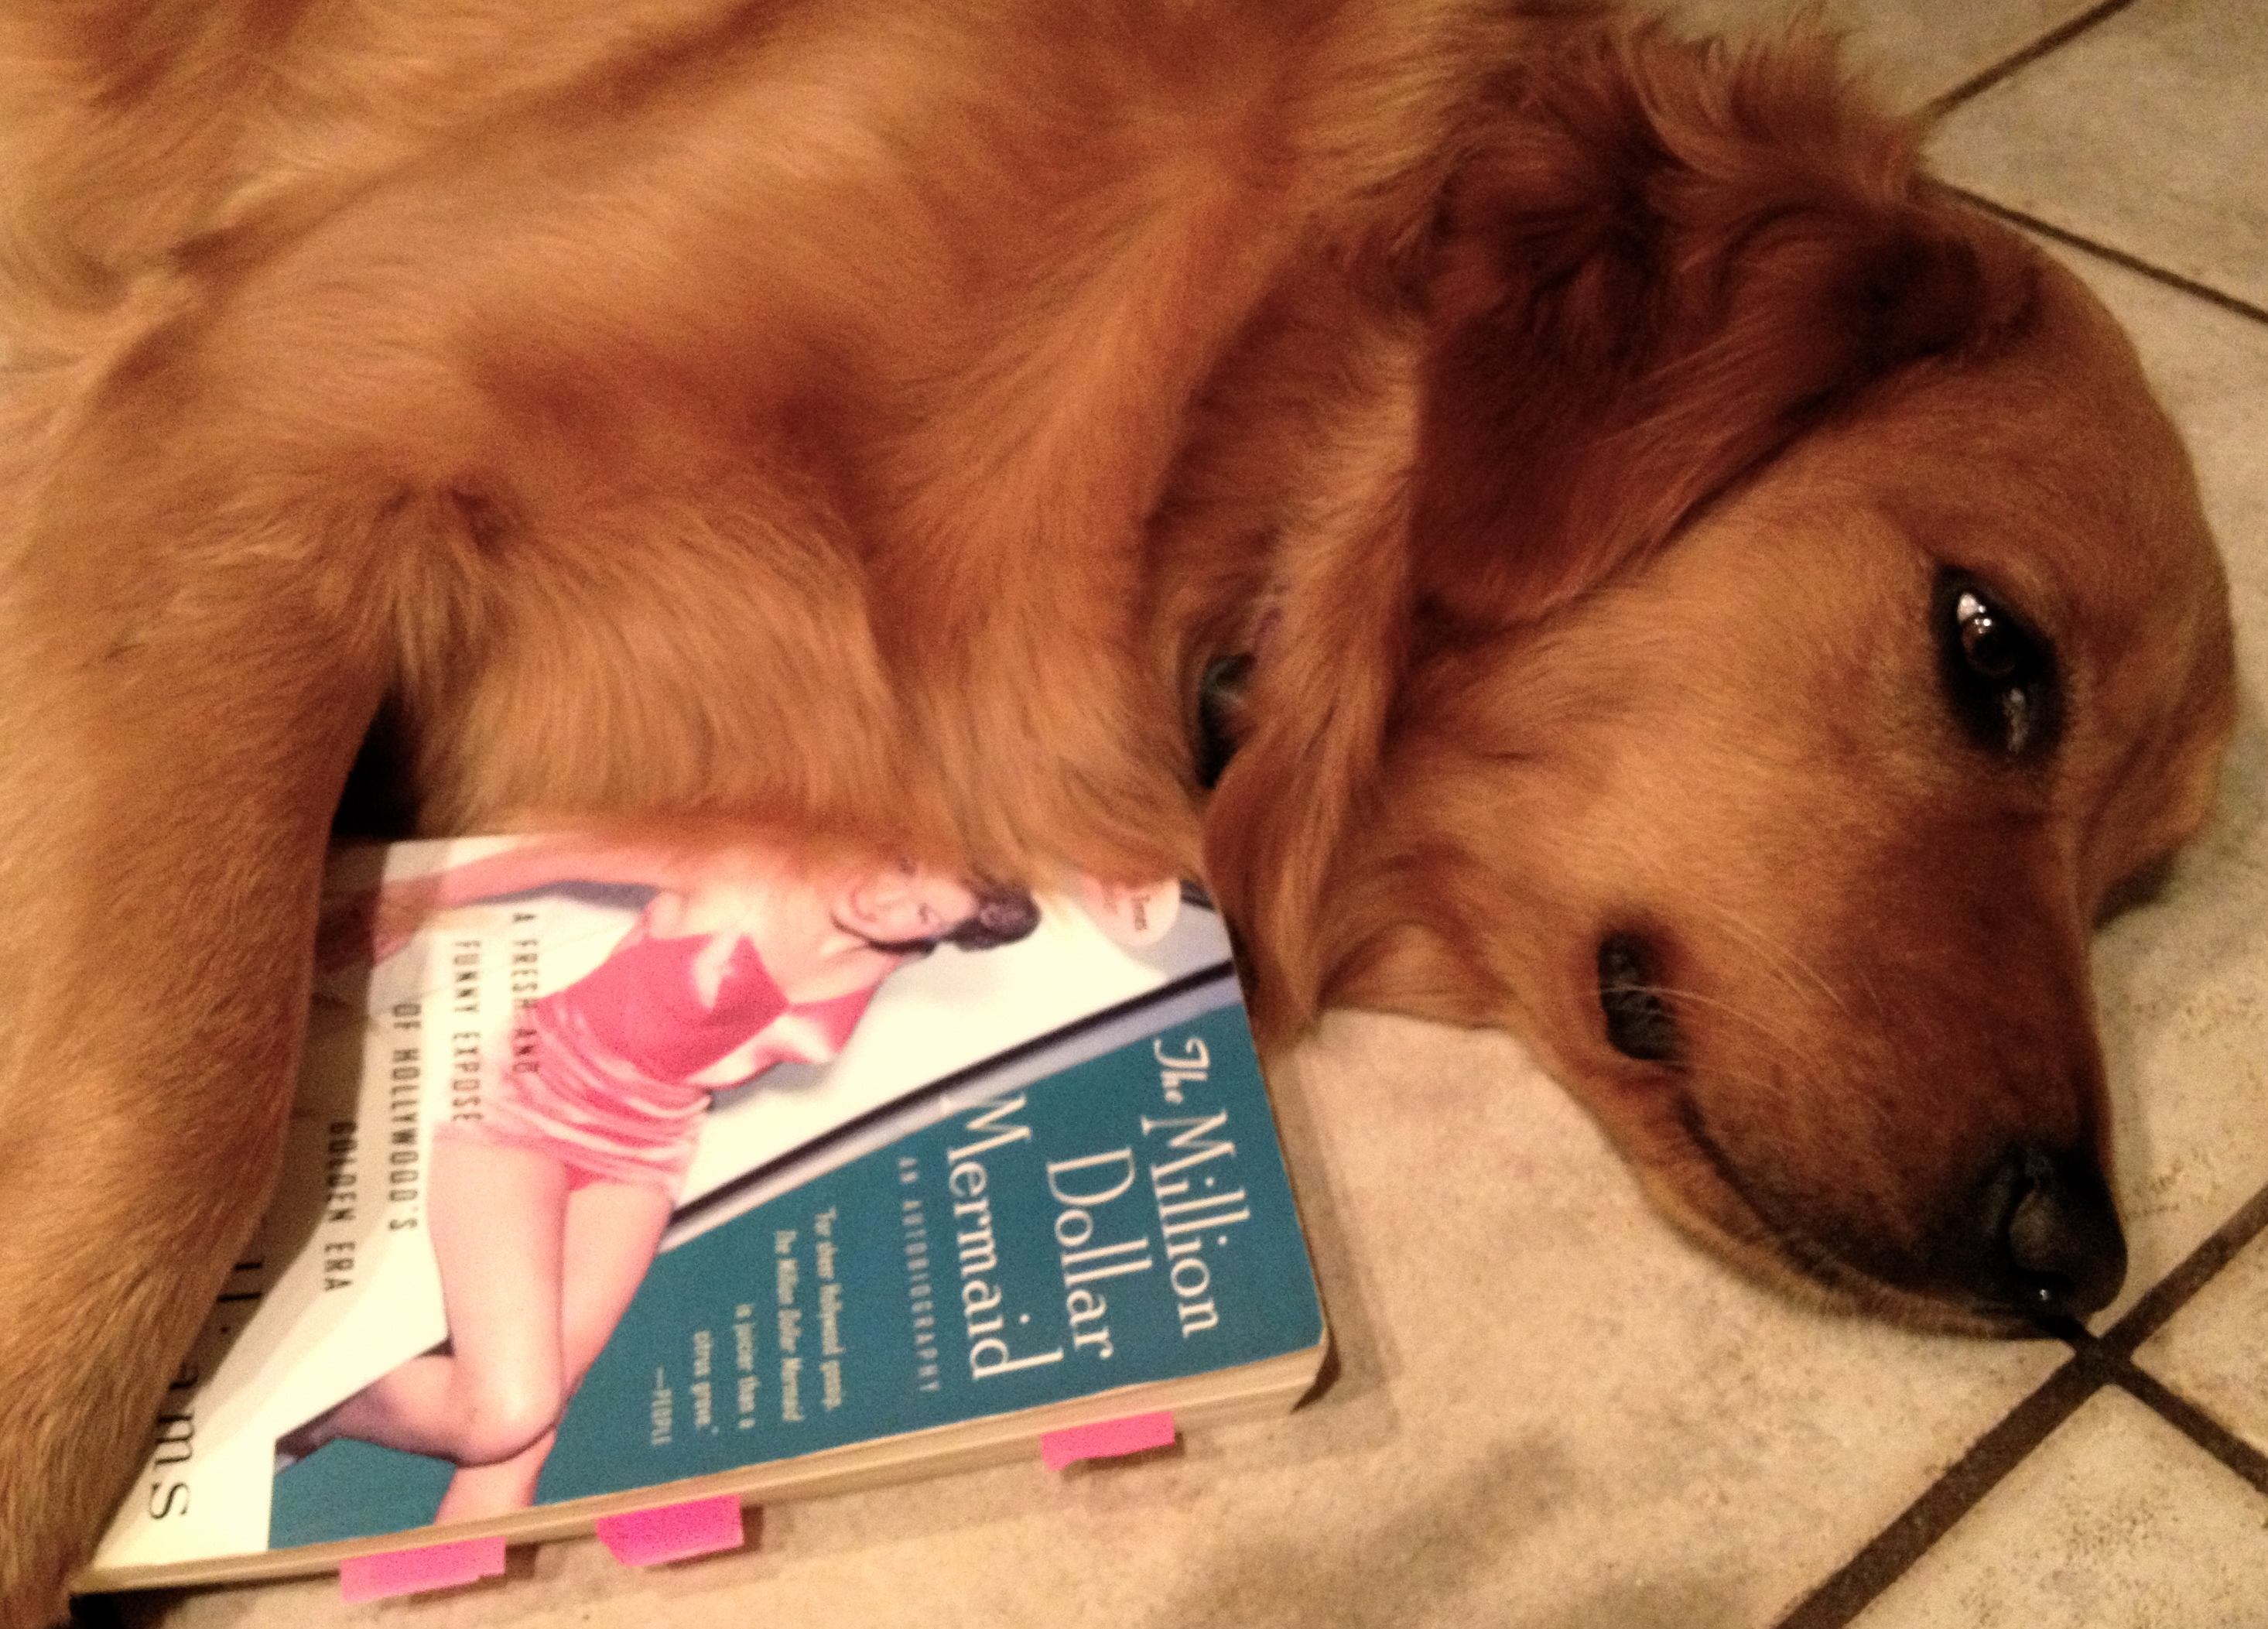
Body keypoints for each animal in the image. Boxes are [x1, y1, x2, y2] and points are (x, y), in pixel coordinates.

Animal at [0, 0, 2237, 1619]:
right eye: (1990, 647)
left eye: (2128, 889)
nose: (2074, 1255)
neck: (1218, 433)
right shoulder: (244, 440)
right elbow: (173, 1121)